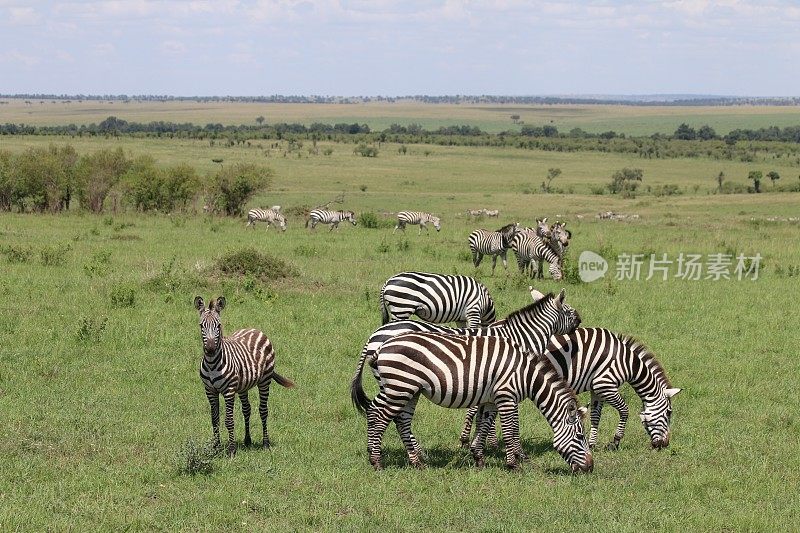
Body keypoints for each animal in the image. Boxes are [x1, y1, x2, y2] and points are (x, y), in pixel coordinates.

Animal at [195, 296, 296, 458]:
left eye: (218, 325)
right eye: (201, 326)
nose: (210, 349)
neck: (211, 364)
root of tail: (255, 329)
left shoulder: (229, 391)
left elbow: (229, 420)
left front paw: (231, 451)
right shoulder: (210, 390)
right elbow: (214, 419)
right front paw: (216, 448)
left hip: (265, 380)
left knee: (263, 410)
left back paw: (265, 443)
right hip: (243, 385)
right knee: (247, 409)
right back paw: (247, 440)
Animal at [352, 330, 592, 472]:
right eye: (580, 437)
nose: (590, 467)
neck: (526, 375)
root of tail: (382, 346)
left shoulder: (491, 399)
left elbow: (484, 425)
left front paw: (478, 458)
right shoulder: (507, 396)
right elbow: (511, 430)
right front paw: (516, 463)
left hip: (409, 390)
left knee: (400, 421)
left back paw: (416, 462)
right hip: (399, 387)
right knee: (377, 415)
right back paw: (376, 461)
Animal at [462, 326, 680, 450]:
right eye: (669, 413)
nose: (664, 445)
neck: (626, 362)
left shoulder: (596, 389)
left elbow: (595, 416)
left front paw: (591, 444)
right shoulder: (605, 384)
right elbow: (625, 411)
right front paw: (615, 441)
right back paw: (470, 441)